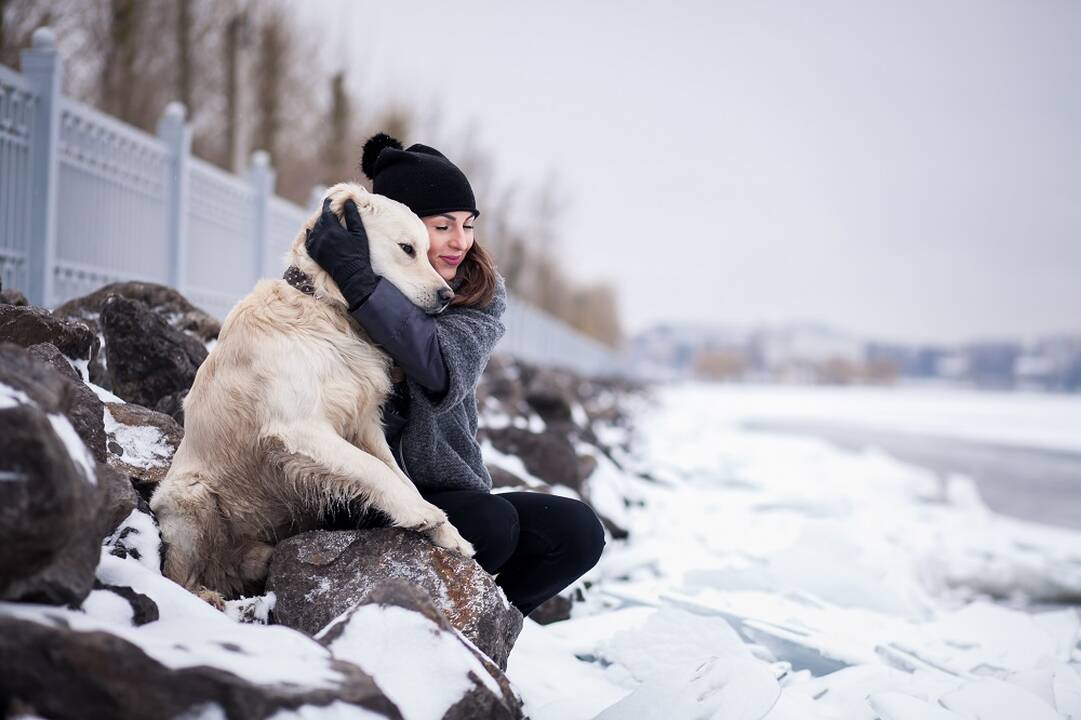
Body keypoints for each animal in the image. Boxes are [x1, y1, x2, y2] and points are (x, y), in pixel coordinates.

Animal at [150, 180, 475, 605]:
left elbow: (399, 475)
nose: (446, 296)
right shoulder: (298, 427)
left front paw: (448, 532)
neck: (325, 308)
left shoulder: (364, 425)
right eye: (407, 249)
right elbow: (372, 470)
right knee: (177, 576)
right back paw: (205, 596)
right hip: (189, 496)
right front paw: (419, 514)